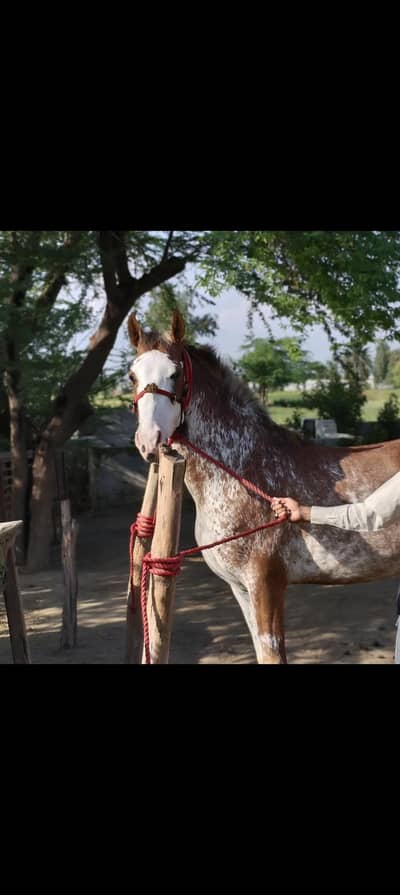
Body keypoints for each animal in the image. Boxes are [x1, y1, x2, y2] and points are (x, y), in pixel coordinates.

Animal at [128, 310, 400, 664]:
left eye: (174, 374)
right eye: (132, 376)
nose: (148, 440)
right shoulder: (241, 588)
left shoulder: (266, 585)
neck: (243, 468)